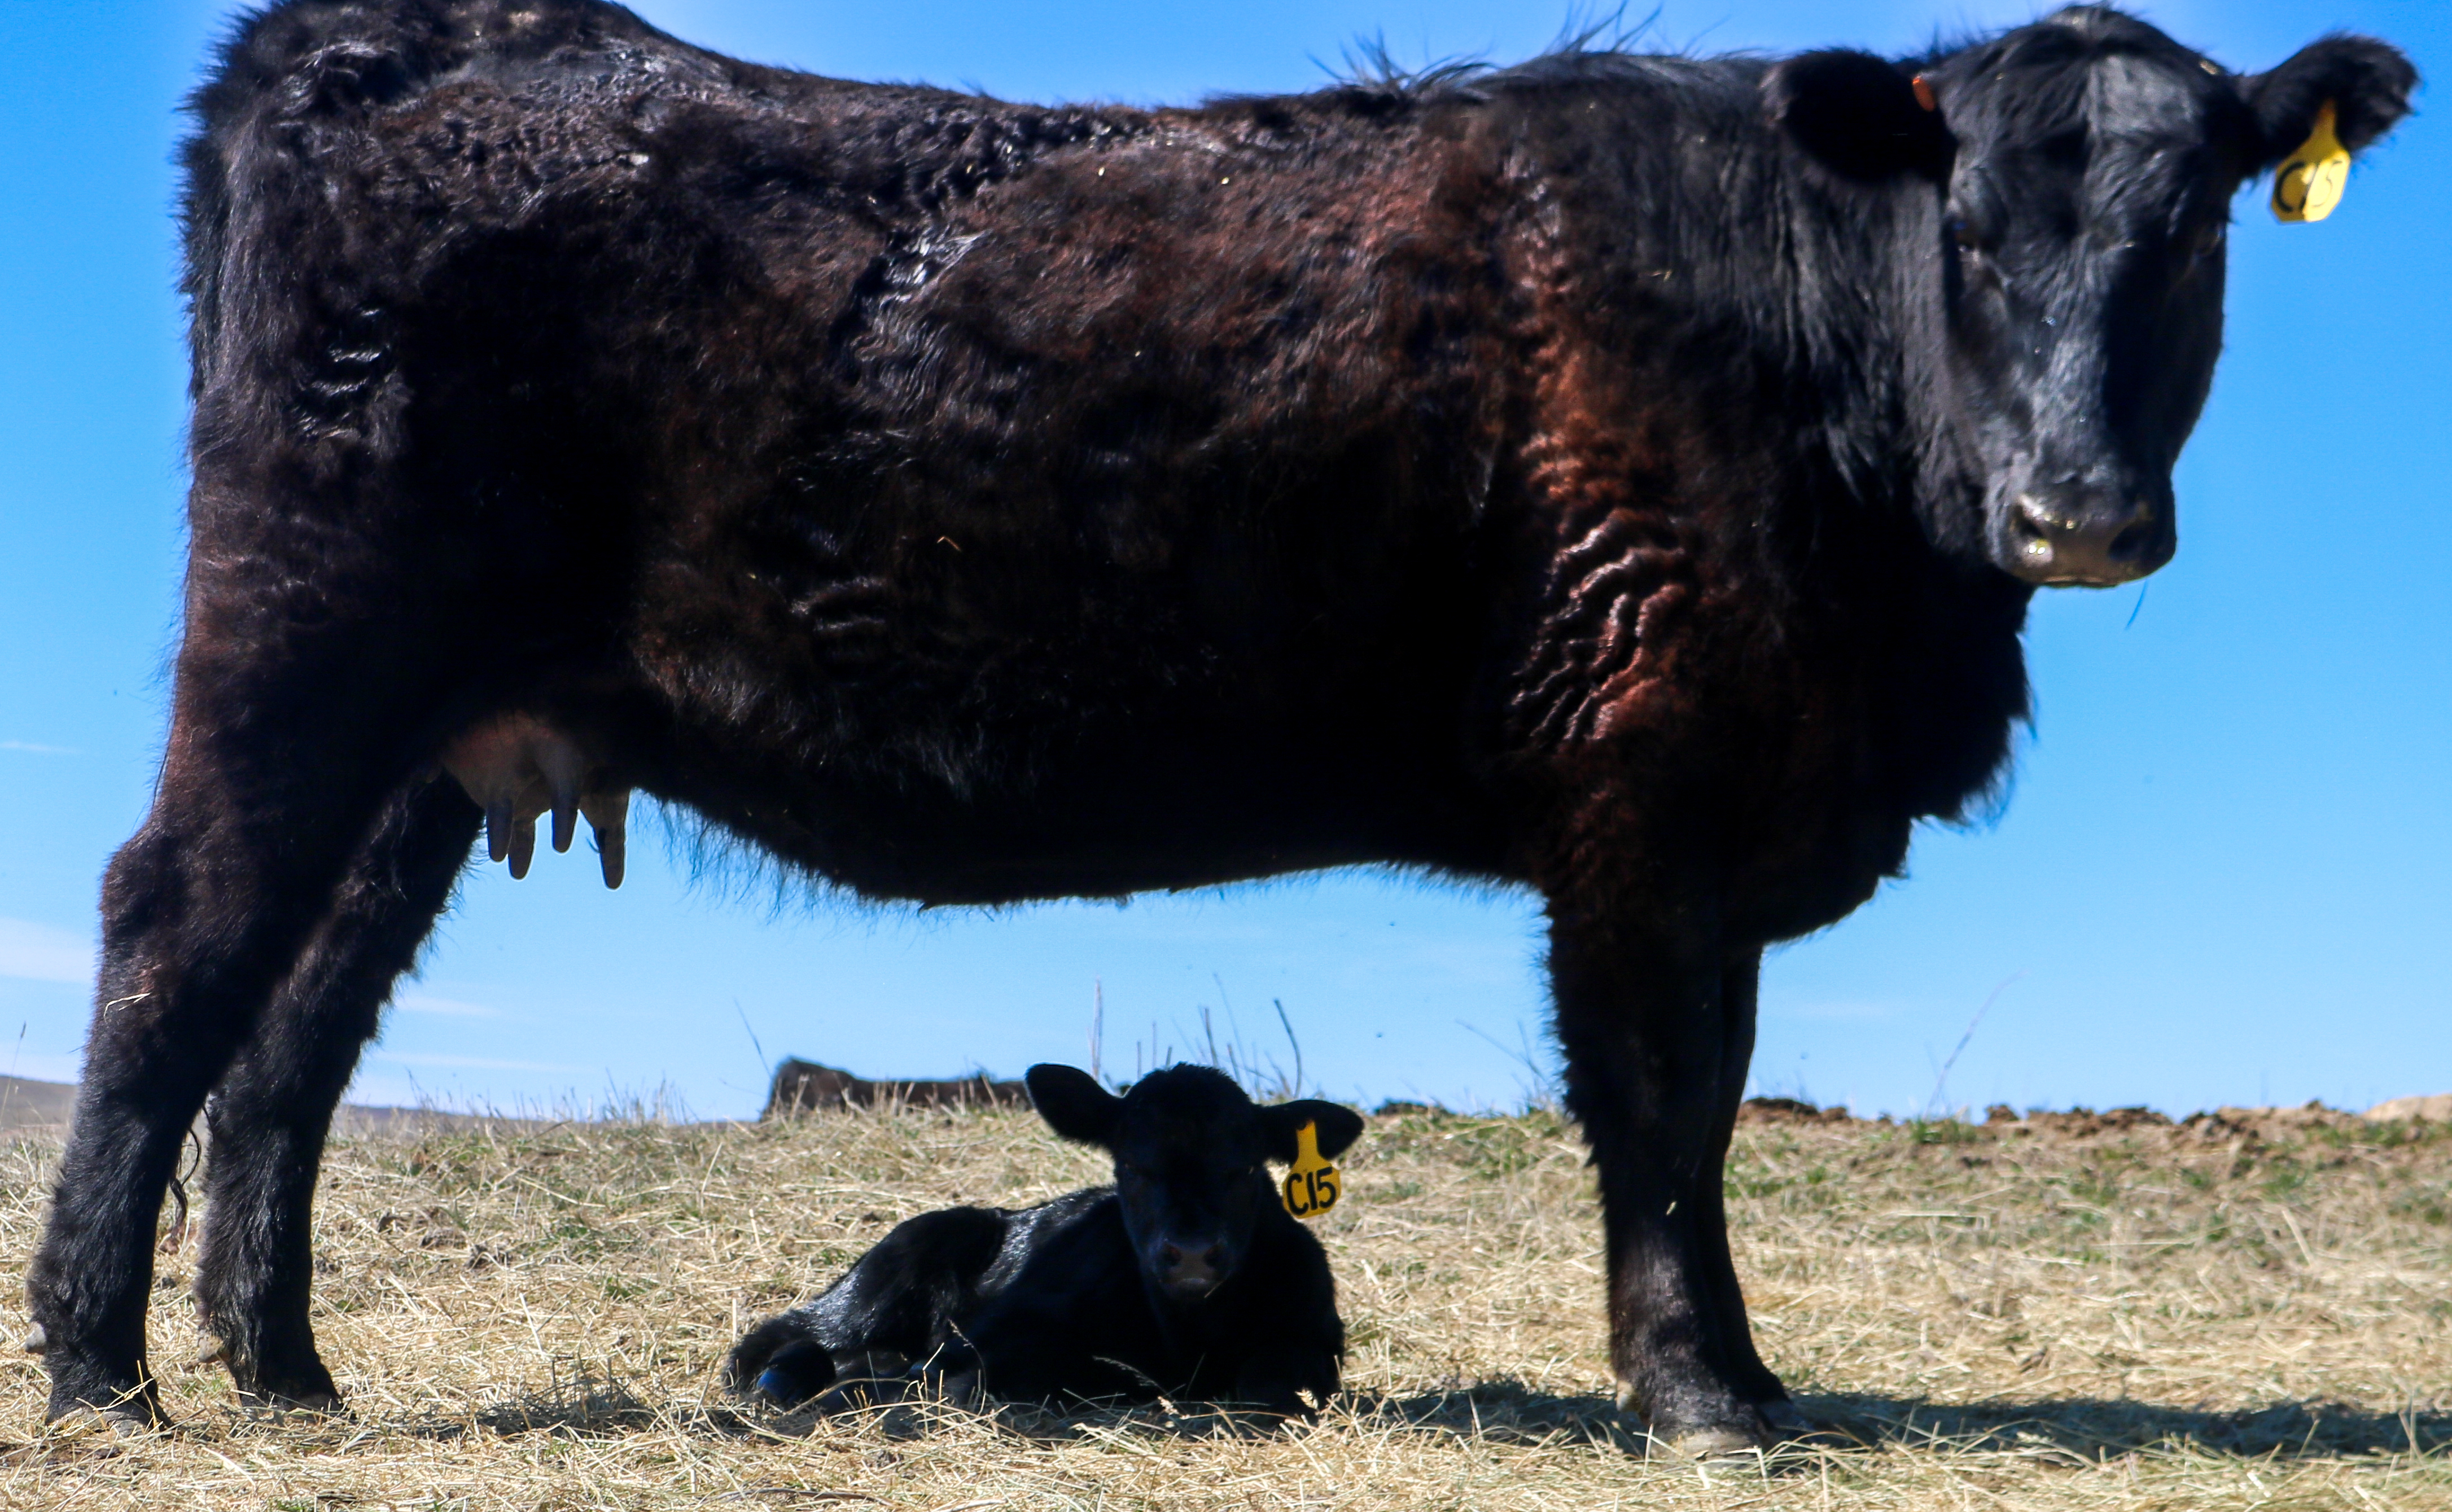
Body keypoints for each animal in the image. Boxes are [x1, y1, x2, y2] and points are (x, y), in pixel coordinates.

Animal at [725, 1063, 1364, 1418]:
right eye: (1131, 1166)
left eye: (1246, 1169)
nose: (1191, 1254)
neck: (1188, 1340)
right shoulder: (1010, 1326)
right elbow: (988, 1371)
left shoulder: (1312, 1339)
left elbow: (1276, 1383)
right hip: (885, 1273)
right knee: (777, 1337)